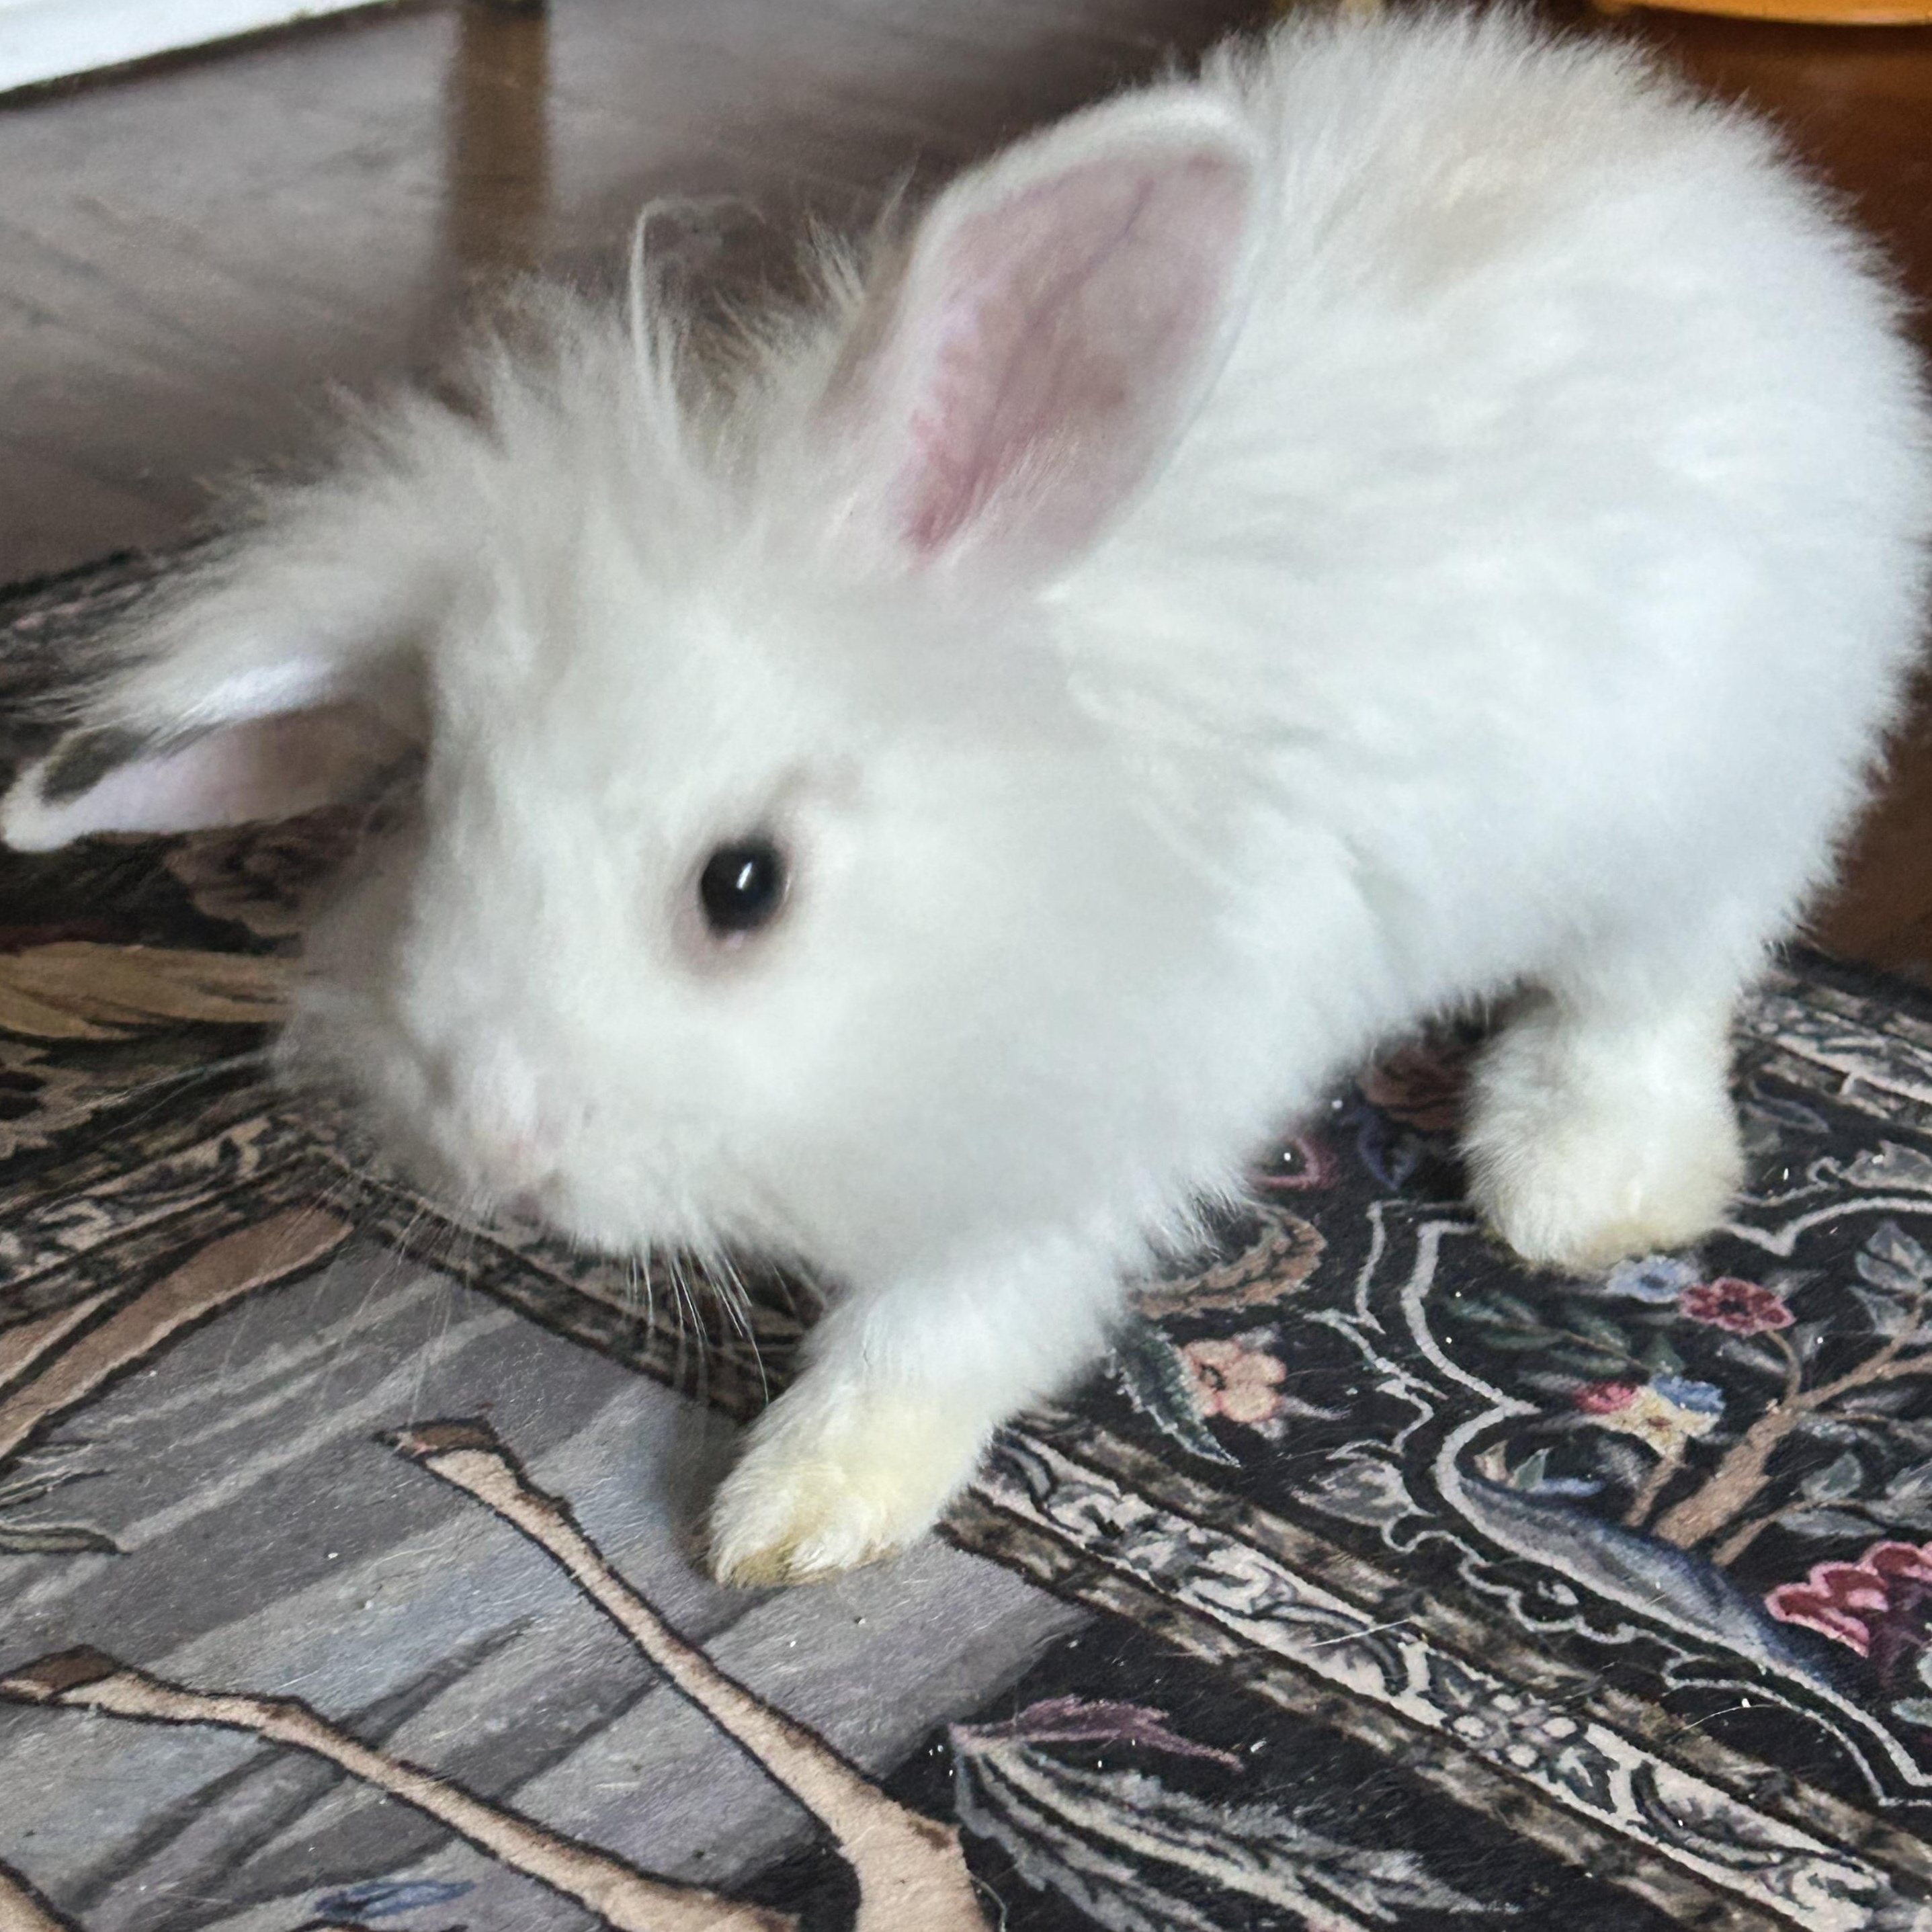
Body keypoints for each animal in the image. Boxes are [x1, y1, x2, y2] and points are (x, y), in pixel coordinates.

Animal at [4, 5, 1928, 1586]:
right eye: (430, 816)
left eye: (744, 885)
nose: (501, 1152)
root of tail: (1729, 180)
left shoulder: (1086, 1130)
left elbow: (949, 1323)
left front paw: (798, 1512)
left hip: (1725, 804)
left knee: (1653, 990)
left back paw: (1581, 1187)